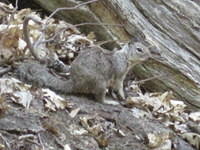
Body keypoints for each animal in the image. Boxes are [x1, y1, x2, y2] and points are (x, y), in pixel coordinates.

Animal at [16, 15, 162, 102]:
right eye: (139, 49)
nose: (149, 57)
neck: (125, 56)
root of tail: (75, 83)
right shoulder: (120, 74)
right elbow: (119, 86)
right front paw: (122, 97)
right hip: (100, 83)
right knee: (99, 99)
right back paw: (109, 102)